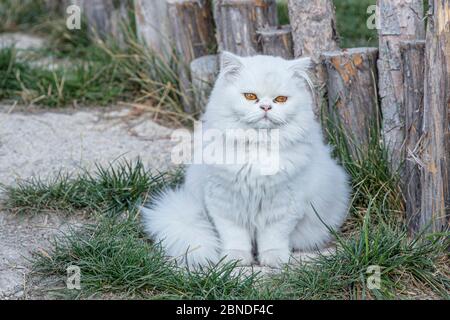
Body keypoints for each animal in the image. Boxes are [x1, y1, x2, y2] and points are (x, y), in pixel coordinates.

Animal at [142, 52, 350, 268]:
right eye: (250, 96)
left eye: (280, 99)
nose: (266, 107)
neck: (257, 147)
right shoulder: (224, 203)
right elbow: (235, 237)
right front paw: (235, 259)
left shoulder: (283, 206)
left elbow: (273, 237)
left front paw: (273, 260)